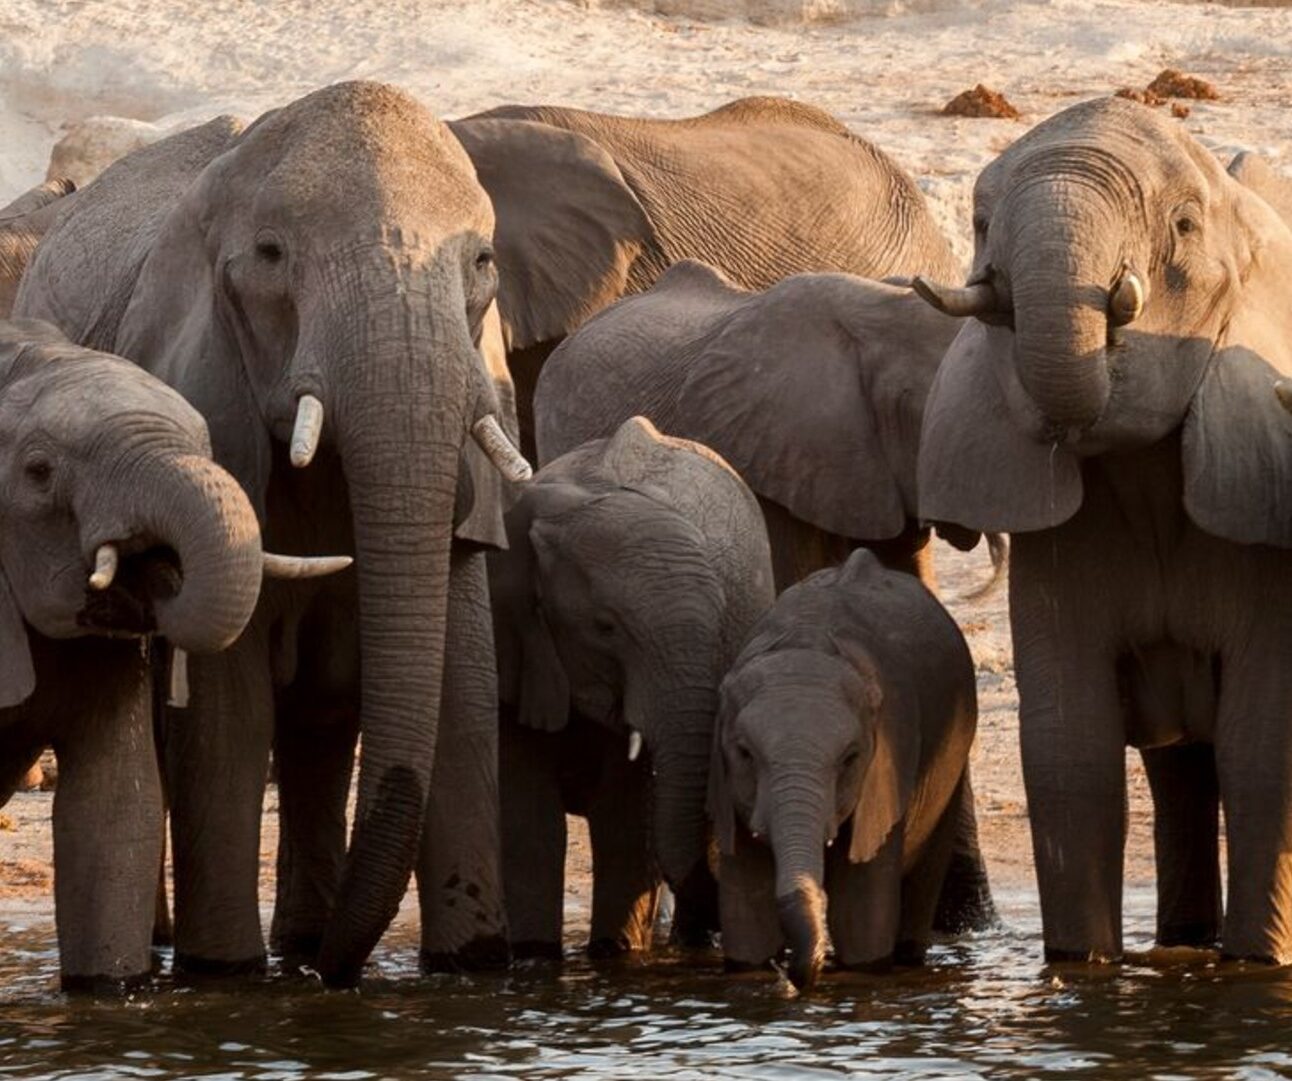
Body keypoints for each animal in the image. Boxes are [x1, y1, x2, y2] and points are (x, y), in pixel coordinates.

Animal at [489, 415, 775, 957]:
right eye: (605, 627)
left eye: (720, 625)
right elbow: (529, 826)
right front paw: (536, 958)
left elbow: (624, 822)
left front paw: (615, 955)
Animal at [710, 548, 977, 992]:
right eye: (745, 754)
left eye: (850, 759)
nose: (794, 976)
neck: (808, 638)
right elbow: (747, 914)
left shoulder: (889, 761)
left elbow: (861, 918)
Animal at [913, 96, 1292, 963]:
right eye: (981, 223)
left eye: (1183, 226)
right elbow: (1069, 751)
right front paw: (1079, 970)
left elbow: (1262, 744)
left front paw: (1257, 964)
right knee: (1180, 765)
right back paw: (1182, 943)